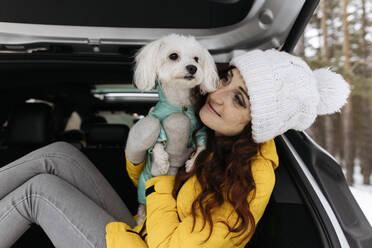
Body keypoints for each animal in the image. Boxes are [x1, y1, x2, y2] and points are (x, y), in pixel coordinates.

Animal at [125, 33, 218, 225]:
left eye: (196, 59)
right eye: (173, 56)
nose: (192, 68)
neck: (179, 104)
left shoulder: (200, 128)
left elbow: (202, 145)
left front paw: (191, 163)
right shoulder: (156, 118)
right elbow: (157, 140)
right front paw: (162, 161)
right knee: (142, 211)